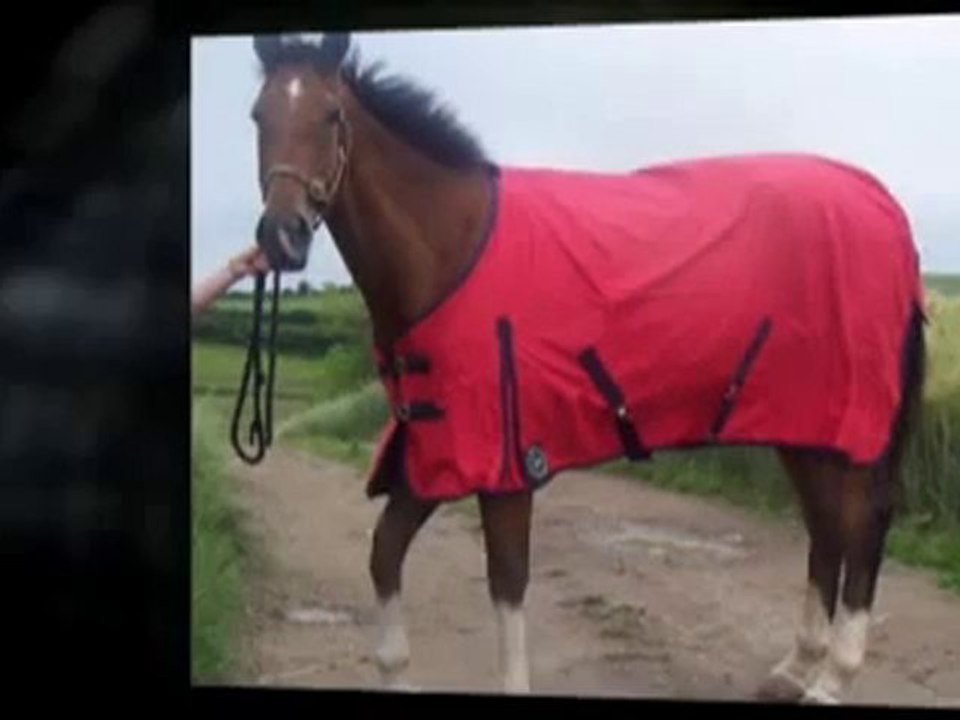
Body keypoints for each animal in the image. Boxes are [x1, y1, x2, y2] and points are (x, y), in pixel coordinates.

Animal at [242, 32, 927, 704]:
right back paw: (796, 667)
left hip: (851, 424)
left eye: (331, 115)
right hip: (803, 425)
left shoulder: (506, 462)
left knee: (862, 524)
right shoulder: (436, 450)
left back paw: (833, 679)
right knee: (827, 527)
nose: (282, 236)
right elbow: (384, 554)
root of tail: (884, 209)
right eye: (258, 116)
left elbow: (507, 582)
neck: (452, 249)